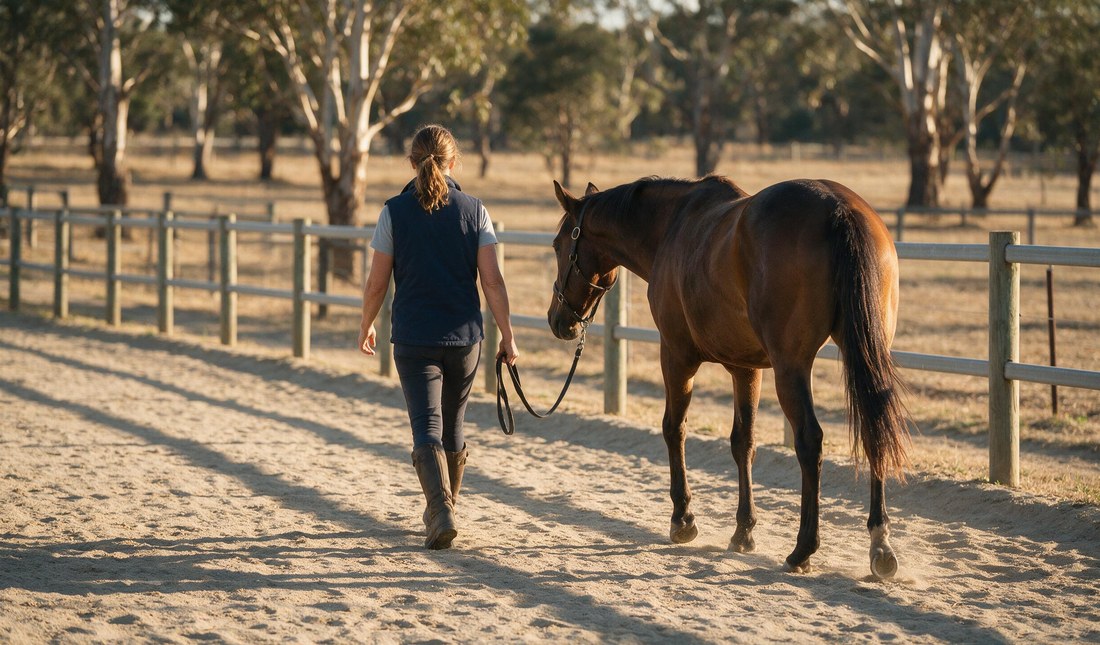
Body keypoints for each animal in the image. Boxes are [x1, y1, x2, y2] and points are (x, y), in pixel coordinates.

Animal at [547, 175, 910, 578]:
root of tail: (838, 208)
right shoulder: (746, 369)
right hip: (864, 354)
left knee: (810, 441)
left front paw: (683, 519)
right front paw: (743, 531)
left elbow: (674, 428)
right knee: (874, 429)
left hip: (792, 367)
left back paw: (803, 549)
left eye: (559, 244)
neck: (672, 226)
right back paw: (880, 544)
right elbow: (743, 443)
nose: (558, 321)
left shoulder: (676, 356)